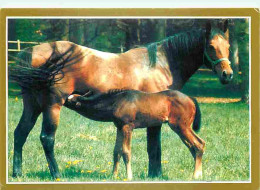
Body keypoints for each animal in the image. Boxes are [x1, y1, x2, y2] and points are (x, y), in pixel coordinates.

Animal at [63, 90, 205, 180]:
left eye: (70, 100)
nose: (62, 99)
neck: (114, 103)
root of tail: (192, 99)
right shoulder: (119, 127)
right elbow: (116, 152)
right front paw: (113, 175)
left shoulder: (128, 127)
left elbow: (126, 152)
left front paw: (129, 176)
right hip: (181, 127)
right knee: (194, 146)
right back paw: (199, 174)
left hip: (180, 126)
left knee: (199, 144)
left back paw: (195, 175)